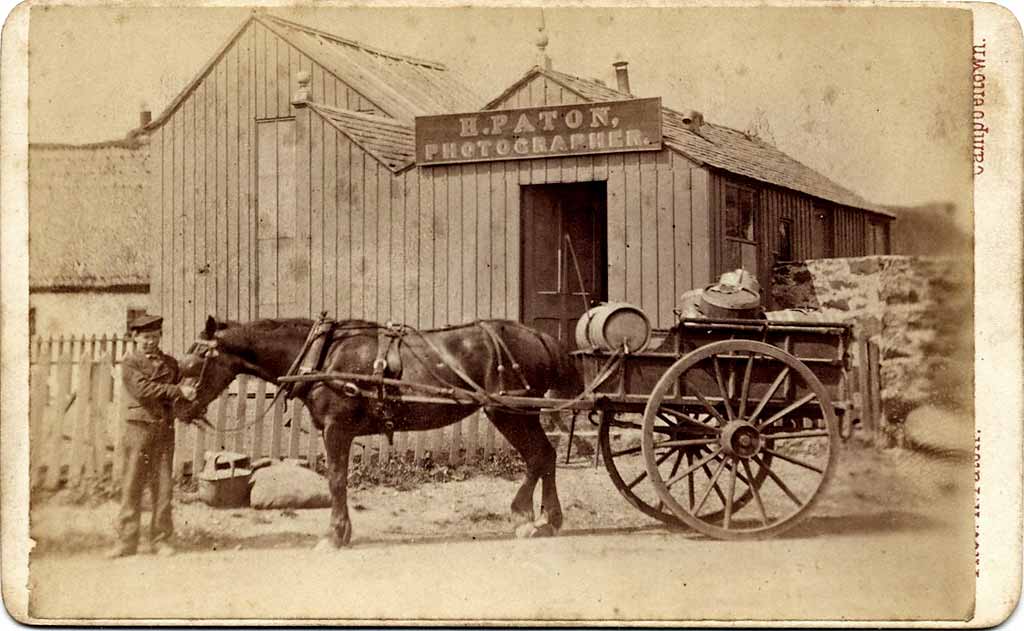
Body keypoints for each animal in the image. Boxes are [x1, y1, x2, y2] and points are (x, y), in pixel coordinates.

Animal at [176, 315, 585, 549]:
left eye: (194, 359)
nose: (180, 405)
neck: (323, 356)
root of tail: (540, 336)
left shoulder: (336, 429)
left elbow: (336, 480)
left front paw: (335, 535)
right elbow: (339, 481)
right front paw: (342, 532)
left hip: (509, 412)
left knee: (539, 457)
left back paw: (528, 518)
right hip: (517, 414)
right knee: (545, 457)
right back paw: (547, 519)